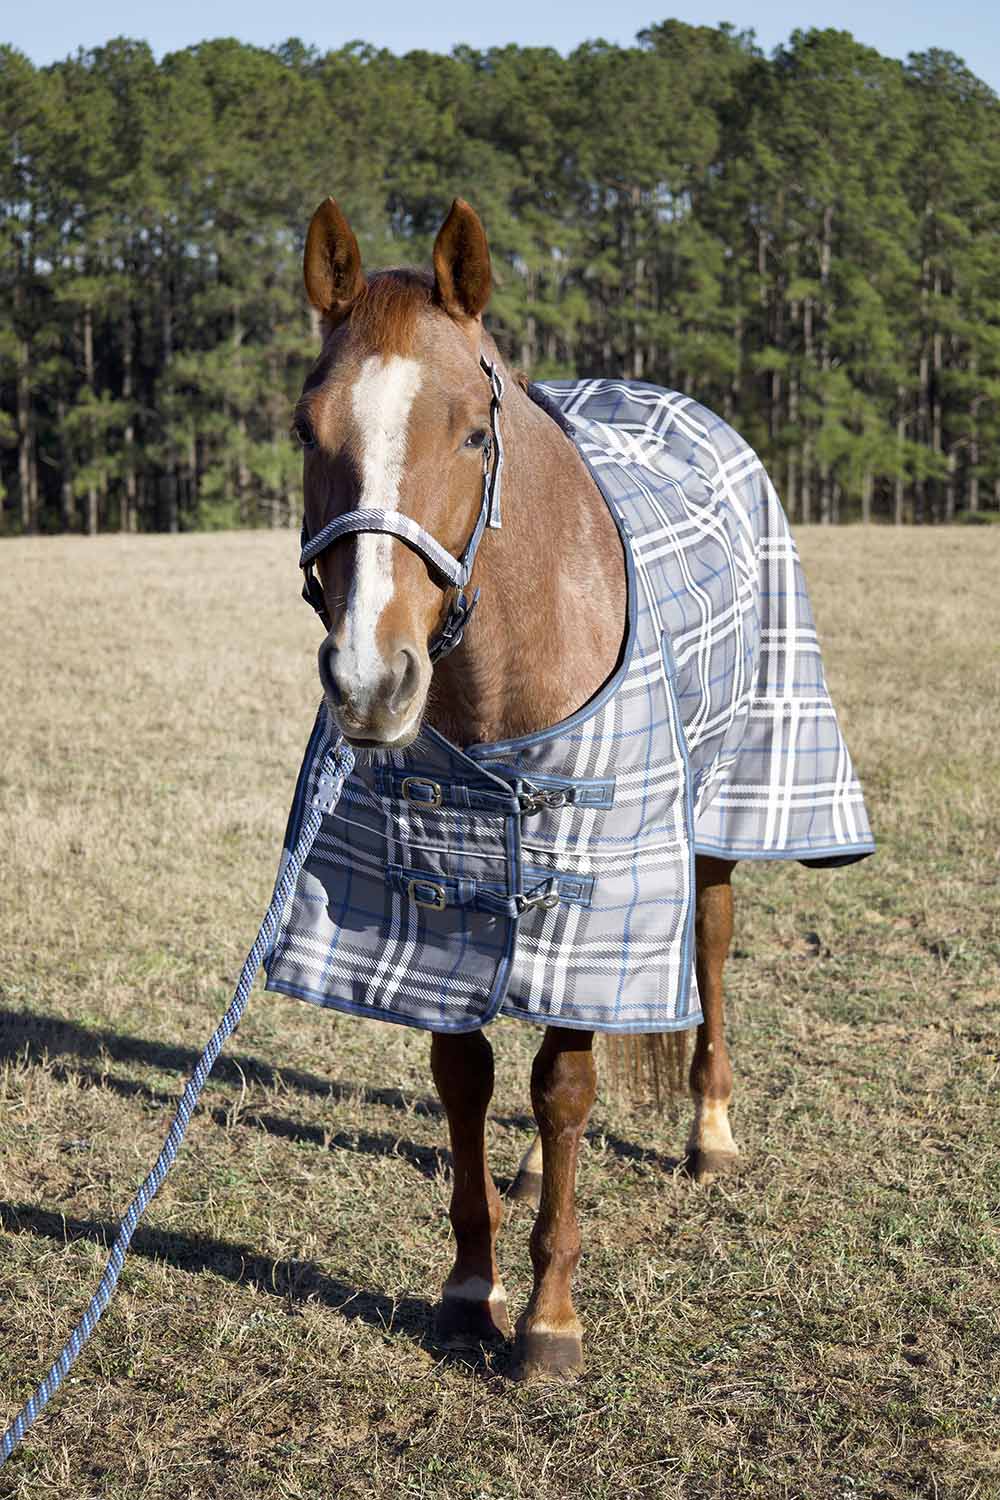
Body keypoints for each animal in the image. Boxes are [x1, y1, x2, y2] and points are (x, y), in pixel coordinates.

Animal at [280, 194, 875, 1381]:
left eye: (473, 431)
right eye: (304, 429)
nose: (369, 680)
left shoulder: (604, 887)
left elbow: (565, 1086)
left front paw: (549, 1318)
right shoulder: (440, 903)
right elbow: (462, 1074)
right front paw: (471, 1289)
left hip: (719, 810)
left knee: (711, 950)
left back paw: (710, 1133)